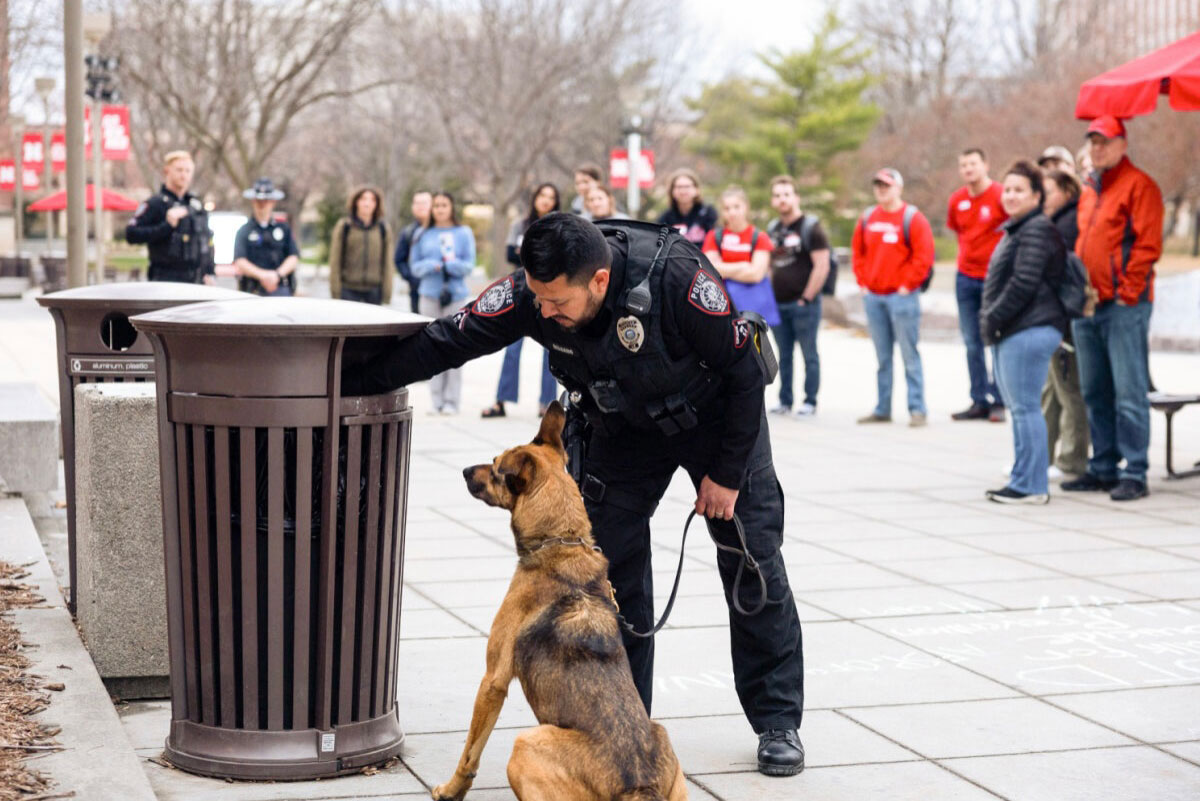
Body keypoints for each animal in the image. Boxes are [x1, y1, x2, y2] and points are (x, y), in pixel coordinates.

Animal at [436, 400, 686, 801]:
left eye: (495, 465)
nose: (464, 471)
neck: (562, 539)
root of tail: (638, 785)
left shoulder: (493, 680)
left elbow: (470, 751)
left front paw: (451, 789)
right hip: (662, 735)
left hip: (525, 744)